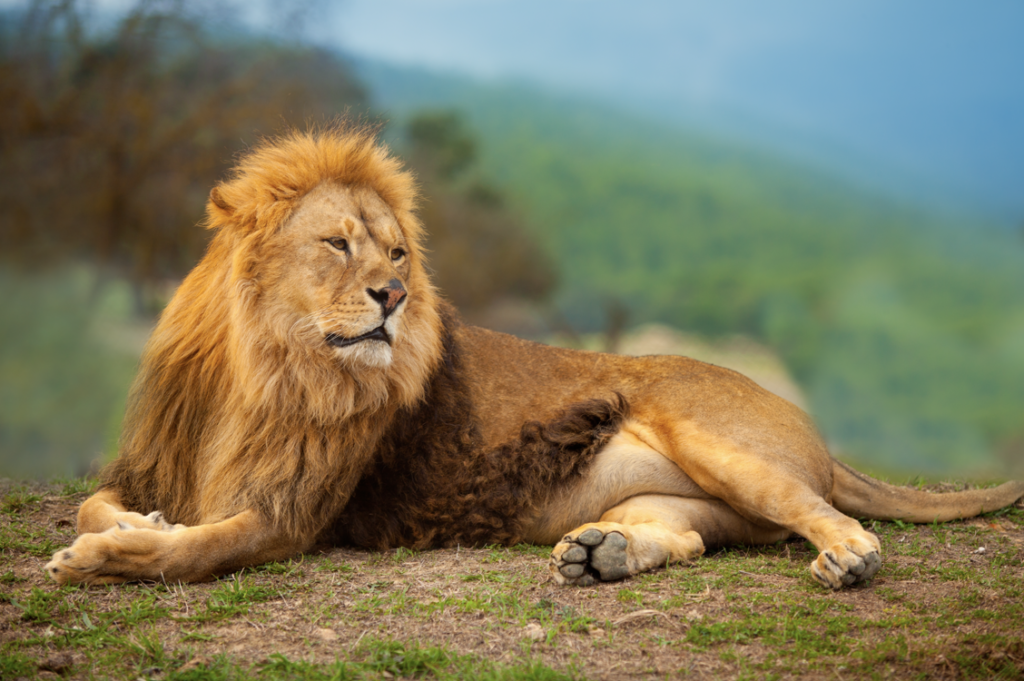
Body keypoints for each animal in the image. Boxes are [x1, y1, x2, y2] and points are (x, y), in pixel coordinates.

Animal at [48, 125, 1024, 589]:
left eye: (397, 253)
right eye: (336, 243)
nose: (393, 297)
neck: (266, 364)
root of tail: (812, 428)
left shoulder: (293, 514)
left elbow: (190, 551)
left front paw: (104, 559)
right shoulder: (155, 461)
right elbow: (100, 503)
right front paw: (137, 523)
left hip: (714, 436)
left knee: (828, 515)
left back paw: (848, 559)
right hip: (681, 499)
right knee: (690, 536)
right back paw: (601, 556)